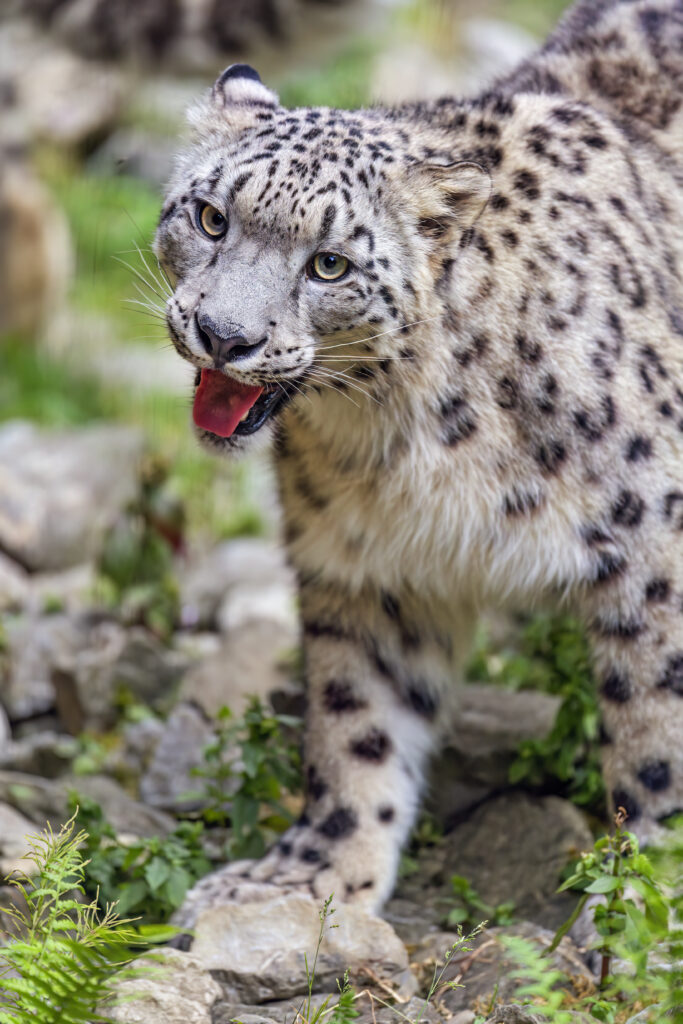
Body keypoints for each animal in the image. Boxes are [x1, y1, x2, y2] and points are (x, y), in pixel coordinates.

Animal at [154, 0, 683, 930]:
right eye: (211, 217)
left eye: (329, 263)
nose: (223, 334)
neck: (400, 438)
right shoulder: (369, 561)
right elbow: (356, 717)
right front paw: (311, 877)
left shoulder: (655, 541)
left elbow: (656, 727)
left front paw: (639, 901)